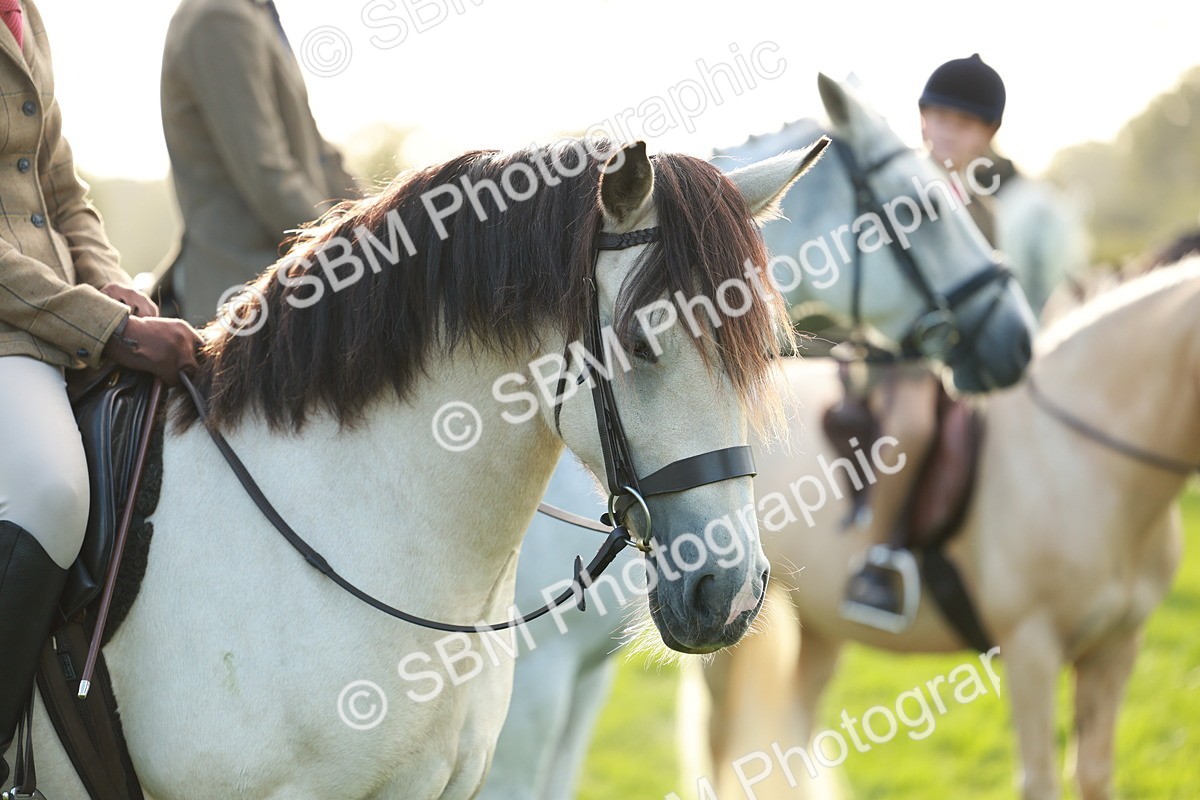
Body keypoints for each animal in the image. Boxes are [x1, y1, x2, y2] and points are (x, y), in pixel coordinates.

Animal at [683, 256, 1200, 800]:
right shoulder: (1031, 649)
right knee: (721, 738)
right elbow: (1040, 780)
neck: (1080, 455)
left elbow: (1095, 774)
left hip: (820, 625)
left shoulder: (1116, 649)